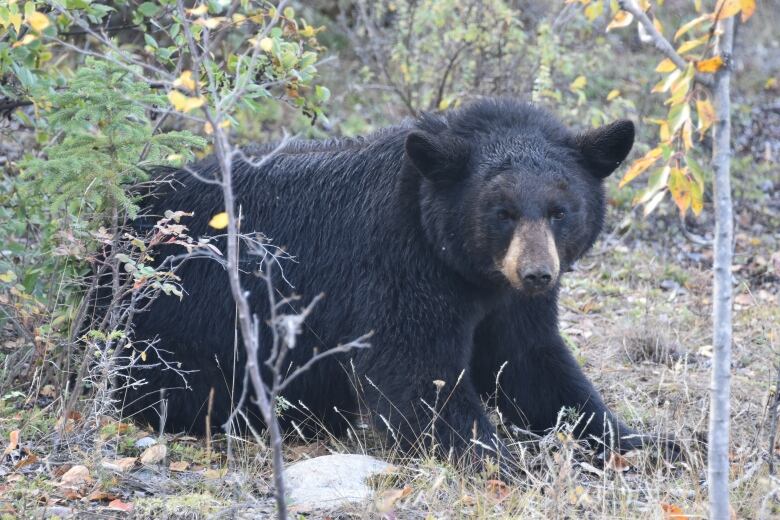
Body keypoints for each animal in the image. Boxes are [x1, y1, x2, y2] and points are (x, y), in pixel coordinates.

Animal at [126, 98, 652, 464]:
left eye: (560, 211)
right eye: (501, 212)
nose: (537, 273)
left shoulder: (509, 301)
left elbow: (533, 365)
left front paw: (644, 440)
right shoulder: (399, 268)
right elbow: (416, 373)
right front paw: (501, 458)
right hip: (178, 325)